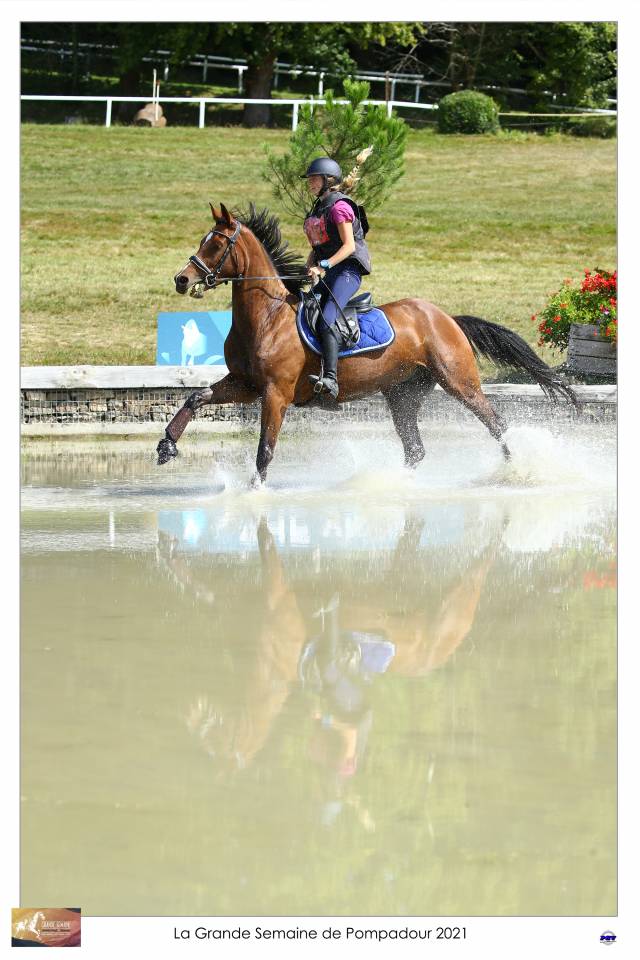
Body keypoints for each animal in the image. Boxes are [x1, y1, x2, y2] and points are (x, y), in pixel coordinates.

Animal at [157, 202, 578, 483]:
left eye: (216, 245)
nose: (181, 279)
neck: (267, 316)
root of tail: (446, 318)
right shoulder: (246, 384)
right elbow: (195, 398)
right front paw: (166, 446)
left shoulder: (275, 393)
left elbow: (265, 450)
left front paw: (254, 493)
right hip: (402, 393)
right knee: (415, 448)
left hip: (459, 381)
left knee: (496, 423)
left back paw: (519, 470)